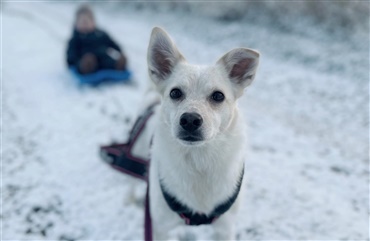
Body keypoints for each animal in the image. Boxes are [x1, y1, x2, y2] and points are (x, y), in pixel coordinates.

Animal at [142, 27, 260, 240]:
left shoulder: (225, 228)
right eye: (175, 93)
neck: (199, 160)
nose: (190, 120)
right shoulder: (161, 227)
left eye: (218, 96)